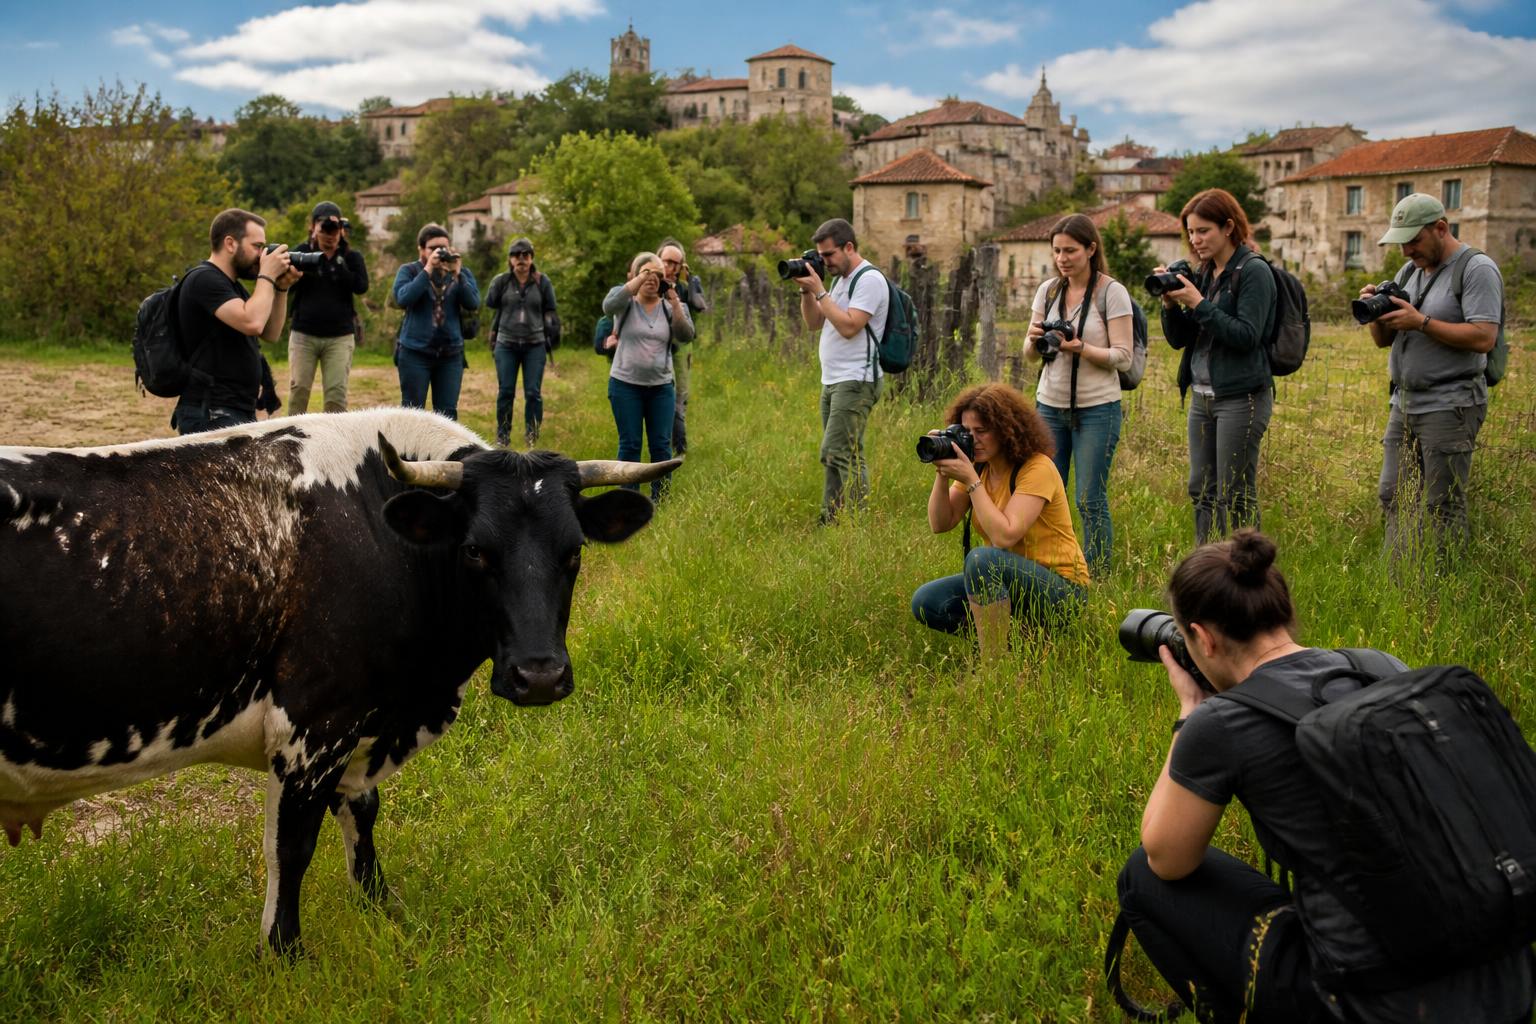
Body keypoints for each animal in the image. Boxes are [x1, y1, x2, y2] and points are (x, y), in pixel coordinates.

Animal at [0, 407, 676, 953]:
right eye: (475, 550)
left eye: (574, 552)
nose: (539, 676)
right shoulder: (313, 725)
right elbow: (291, 847)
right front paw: (283, 953)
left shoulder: (362, 726)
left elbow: (363, 810)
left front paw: (380, 908)